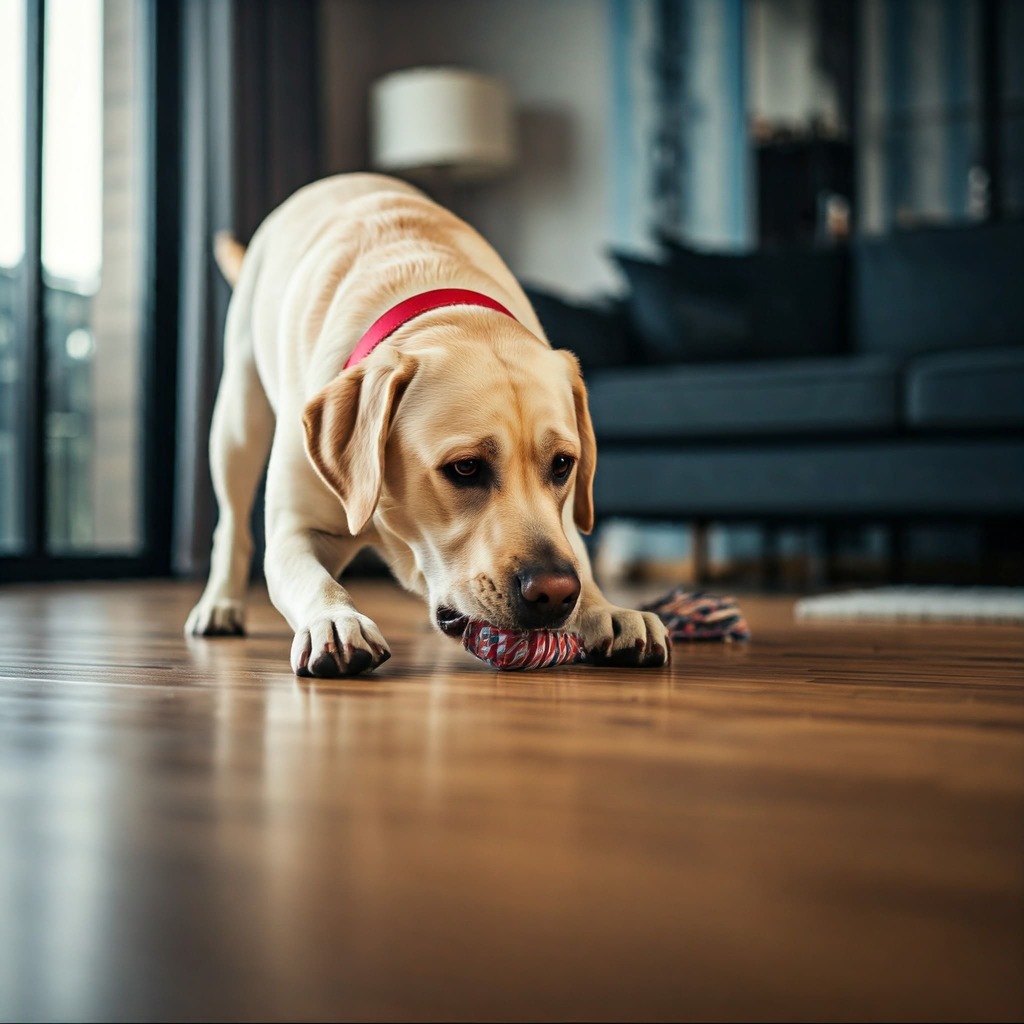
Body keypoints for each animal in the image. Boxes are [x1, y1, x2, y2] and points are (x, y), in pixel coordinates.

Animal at [188, 172, 671, 675]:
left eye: (562, 465)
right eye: (465, 468)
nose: (555, 593)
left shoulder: (563, 526)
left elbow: (580, 561)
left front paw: (606, 609)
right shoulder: (293, 529)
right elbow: (312, 579)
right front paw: (336, 620)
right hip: (237, 420)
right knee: (231, 525)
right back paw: (219, 604)